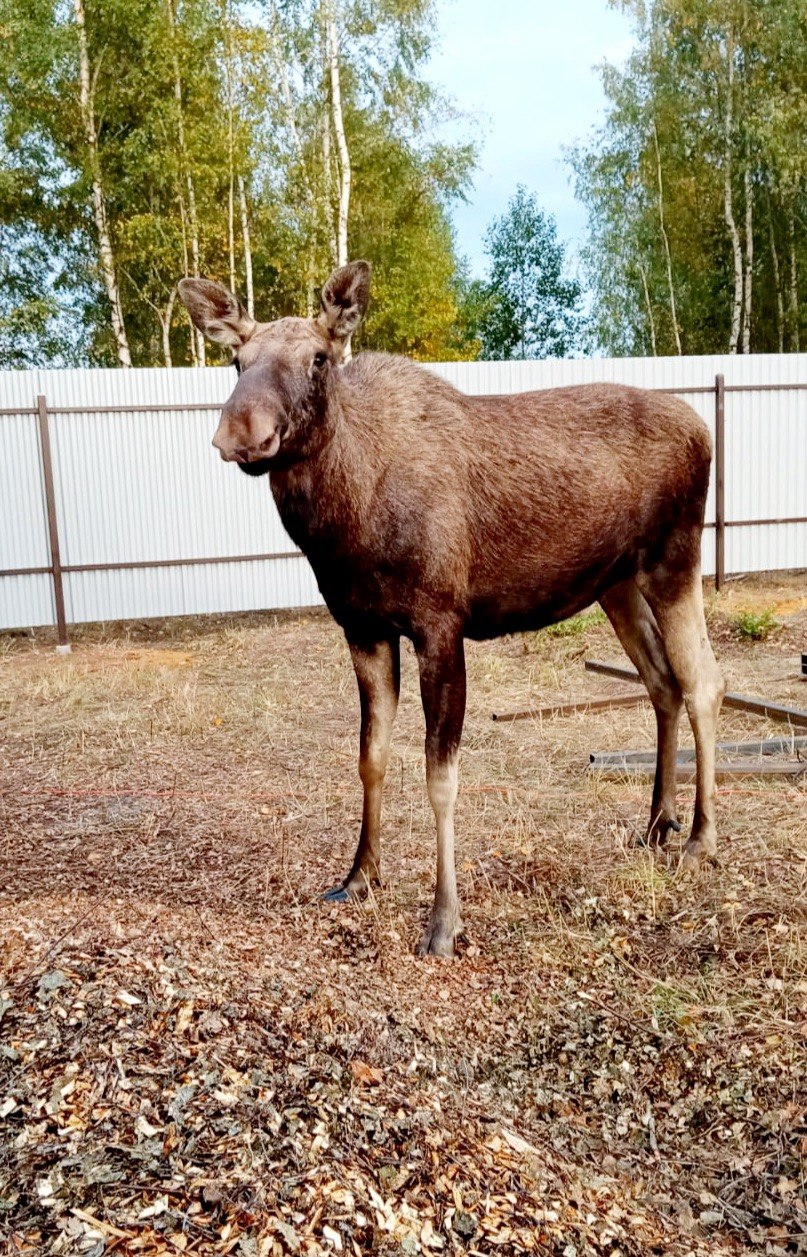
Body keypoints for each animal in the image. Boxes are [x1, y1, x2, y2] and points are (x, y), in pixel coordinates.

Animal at [179, 260, 725, 957]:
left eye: (319, 358)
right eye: (236, 360)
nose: (242, 431)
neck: (341, 525)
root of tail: (702, 427)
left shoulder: (440, 624)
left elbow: (441, 777)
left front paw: (443, 921)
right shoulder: (361, 627)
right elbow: (371, 758)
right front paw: (359, 876)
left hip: (674, 559)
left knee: (704, 681)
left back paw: (700, 837)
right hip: (616, 582)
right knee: (661, 681)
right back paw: (657, 822)